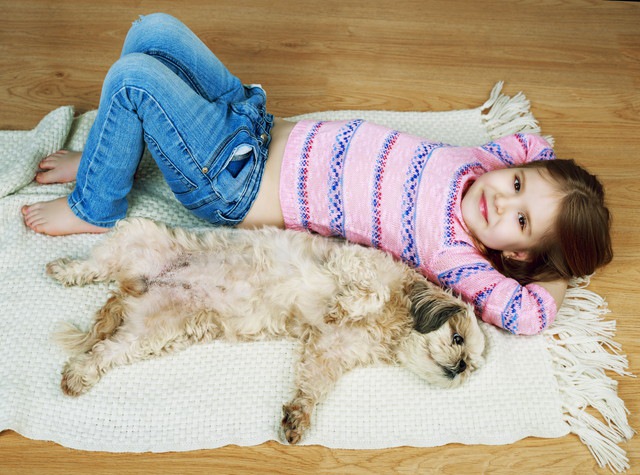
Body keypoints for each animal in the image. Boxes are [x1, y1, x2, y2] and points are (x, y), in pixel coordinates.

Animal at [48, 219, 484, 446]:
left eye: (472, 368)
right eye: (458, 339)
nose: (461, 367)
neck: (392, 323)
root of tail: (138, 284)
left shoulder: (329, 352)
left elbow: (312, 386)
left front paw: (298, 418)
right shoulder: (354, 264)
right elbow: (365, 292)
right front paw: (342, 306)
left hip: (151, 330)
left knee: (106, 352)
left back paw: (78, 375)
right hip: (136, 236)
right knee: (93, 266)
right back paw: (64, 269)